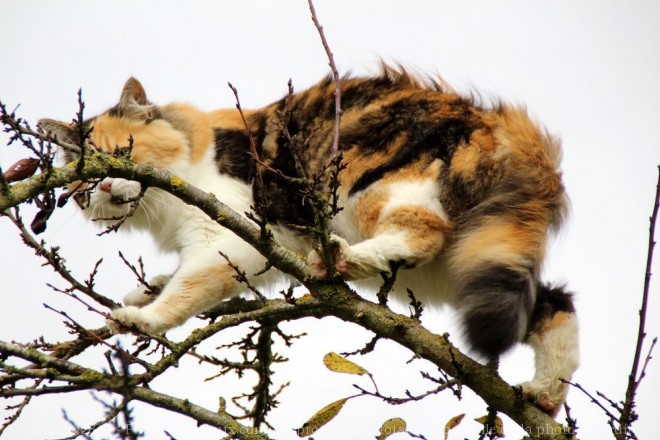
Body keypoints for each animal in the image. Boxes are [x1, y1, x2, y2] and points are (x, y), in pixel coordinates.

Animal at [40, 67, 576, 414]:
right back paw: (544, 395)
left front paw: (142, 318)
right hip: (475, 260)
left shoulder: (229, 237)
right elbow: (177, 277)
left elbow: (186, 291)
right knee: (553, 305)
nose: (104, 186)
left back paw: (340, 260)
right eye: (83, 178)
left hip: (372, 186)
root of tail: (509, 128)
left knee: (421, 232)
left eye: (118, 154)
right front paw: (142, 289)